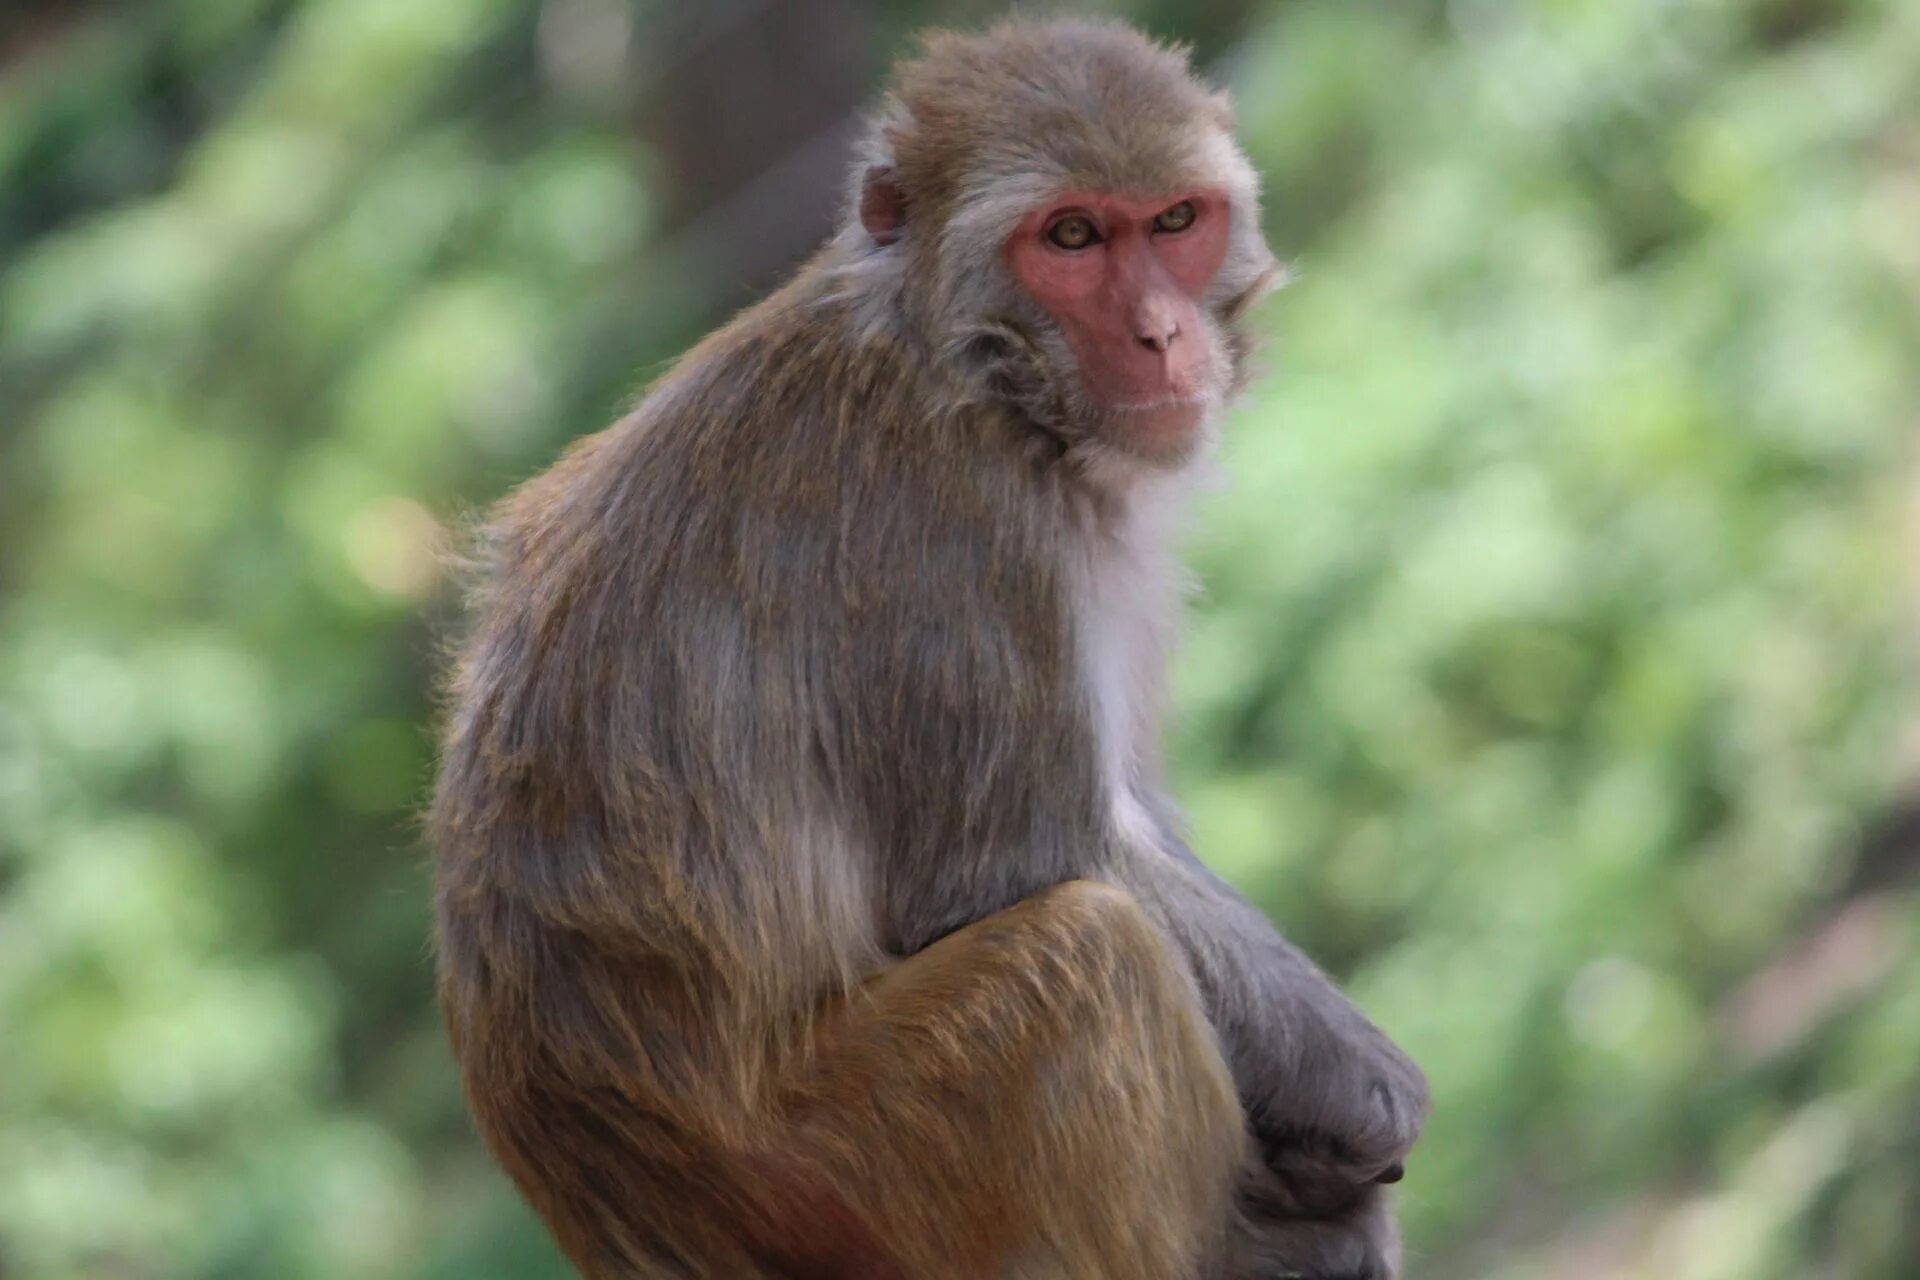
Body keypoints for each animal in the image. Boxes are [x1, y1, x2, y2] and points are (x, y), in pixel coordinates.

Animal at [432, 17, 1428, 1280]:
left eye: (1174, 222)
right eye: (1069, 236)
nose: (1161, 335)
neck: (975, 367)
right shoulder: (956, 528)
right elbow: (1028, 858)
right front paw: (1357, 1088)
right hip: (865, 1162)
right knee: (1088, 956)